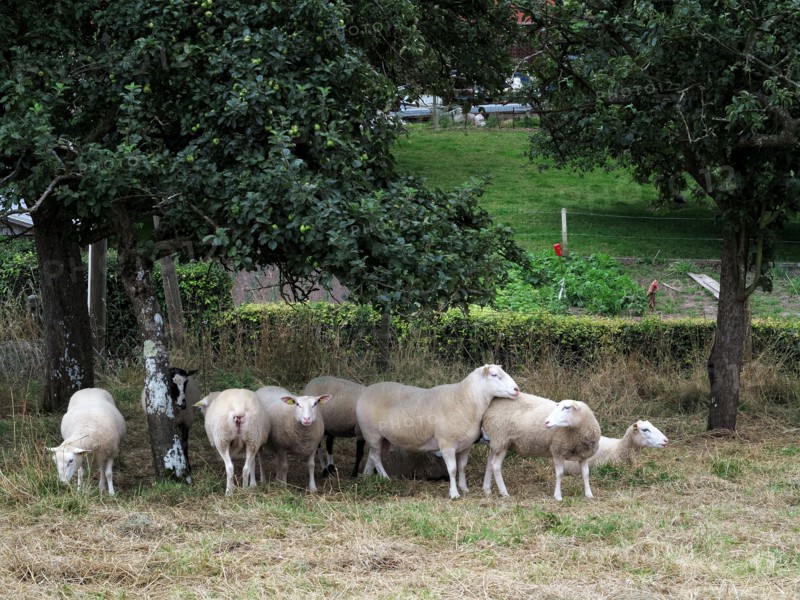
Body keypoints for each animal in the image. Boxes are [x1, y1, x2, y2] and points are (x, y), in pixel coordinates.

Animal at [356, 364, 520, 499]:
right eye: (494, 375)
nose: (517, 389)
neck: (464, 399)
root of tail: (365, 391)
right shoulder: (447, 443)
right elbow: (452, 469)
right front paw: (454, 493)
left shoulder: (466, 445)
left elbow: (462, 467)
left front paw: (464, 488)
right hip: (371, 432)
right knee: (376, 458)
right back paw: (385, 478)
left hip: (383, 438)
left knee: (373, 456)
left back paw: (367, 477)